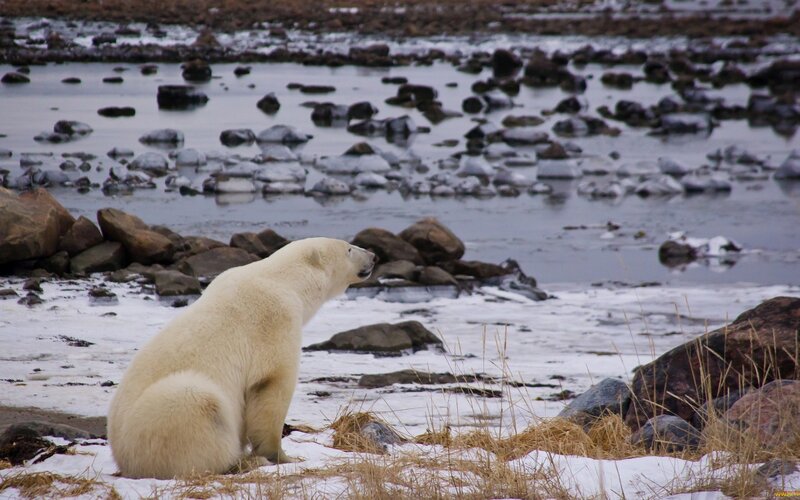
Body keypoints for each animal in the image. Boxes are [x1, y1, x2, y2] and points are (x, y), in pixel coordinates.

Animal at [107, 238, 376, 479]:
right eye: (349, 248)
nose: (373, 256)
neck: (283, 280)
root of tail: (123, 459)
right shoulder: (275, 318)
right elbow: (272, 384)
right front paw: (283, 457)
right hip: (162, 417)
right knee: (200, 406)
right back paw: (244, 462)